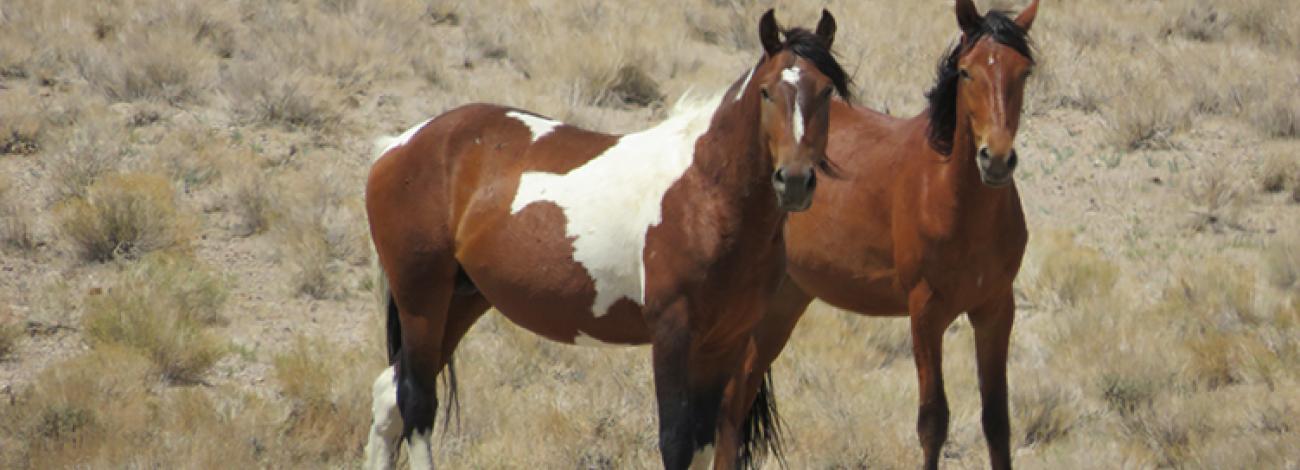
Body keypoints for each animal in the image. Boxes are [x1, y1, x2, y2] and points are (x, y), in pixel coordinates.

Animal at [366, 10, 852, 470]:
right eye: (768, 91)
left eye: (827, 91)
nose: (795, 181)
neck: (705, 194)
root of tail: (399, 145)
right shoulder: (673, 333)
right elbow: (676, 442)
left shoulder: (725, 341)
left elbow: (703, 443)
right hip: (422, 300)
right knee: (416, 404)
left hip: (462, 299)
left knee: (389, 398)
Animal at [748, 1, 1040, 467]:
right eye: (966, 71)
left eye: (1024, 71)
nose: (995, 159)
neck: (951, 198)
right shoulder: (925, 313)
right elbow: (933, 420)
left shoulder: (996, 310)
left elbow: (997, 420)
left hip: (786, 298)